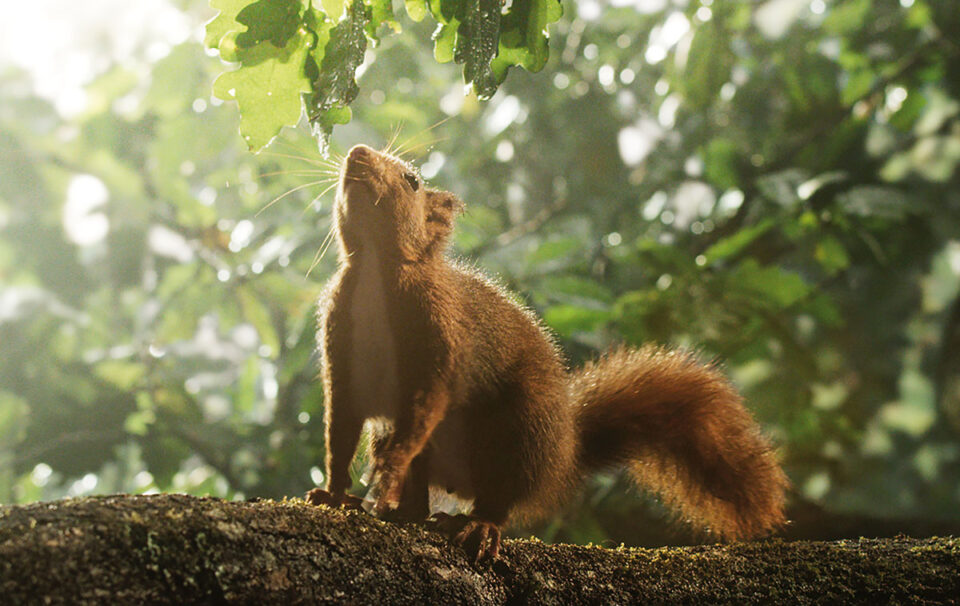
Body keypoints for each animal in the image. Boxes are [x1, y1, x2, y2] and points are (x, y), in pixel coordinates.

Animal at [308, 145, 788, 564]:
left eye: (412, 181)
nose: (357, 152)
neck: (376, 273)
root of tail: (564, 454)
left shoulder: (441, 335)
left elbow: (427, 406)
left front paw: (388, 473)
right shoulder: (339, 345)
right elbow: (340, 426)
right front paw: (333, 493)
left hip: (522, 432)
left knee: (500, 496)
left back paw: (478, 525)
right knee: (421, 496)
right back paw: (405, 511)